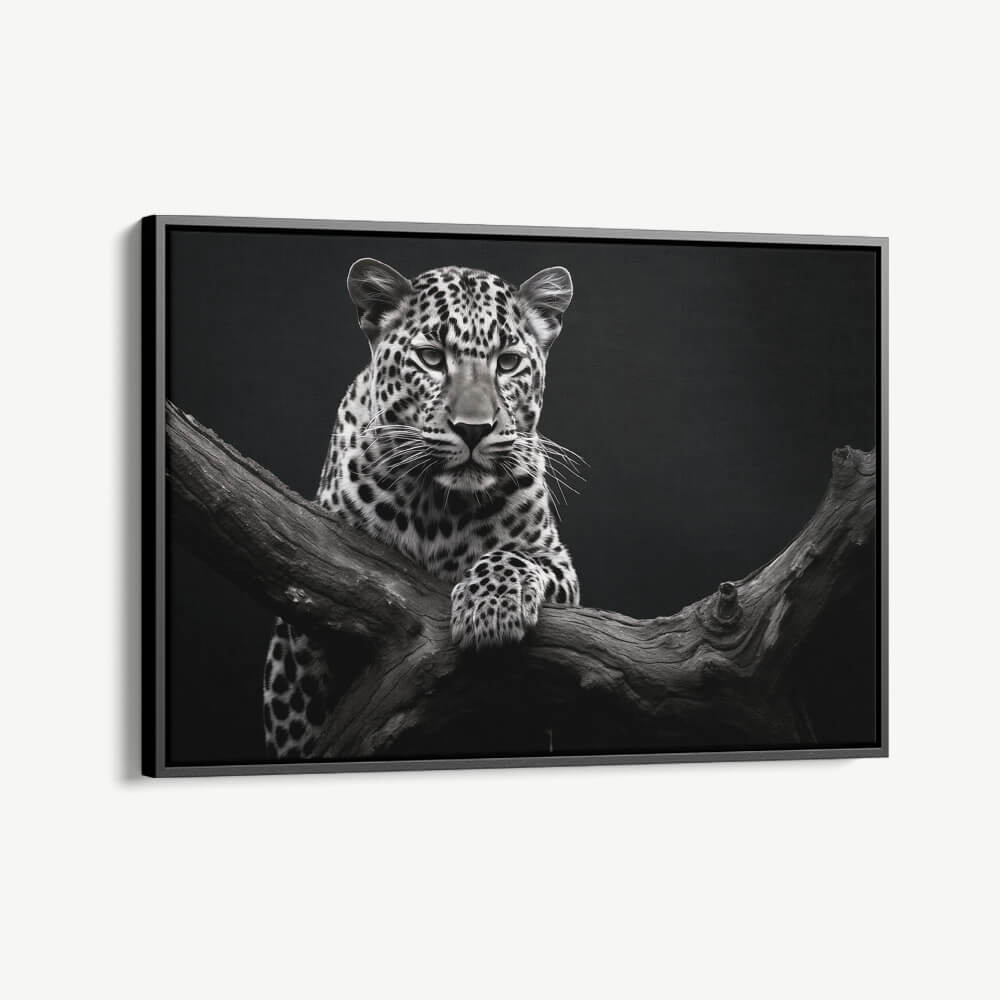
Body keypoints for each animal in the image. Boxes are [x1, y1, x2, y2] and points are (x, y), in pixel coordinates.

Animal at [263, 257, 581, 760]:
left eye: (508, 363)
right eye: (432, 358)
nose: (474, 429)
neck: (440, 507)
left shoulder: (555, 560)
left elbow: (513, 555)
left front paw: (489, 611)